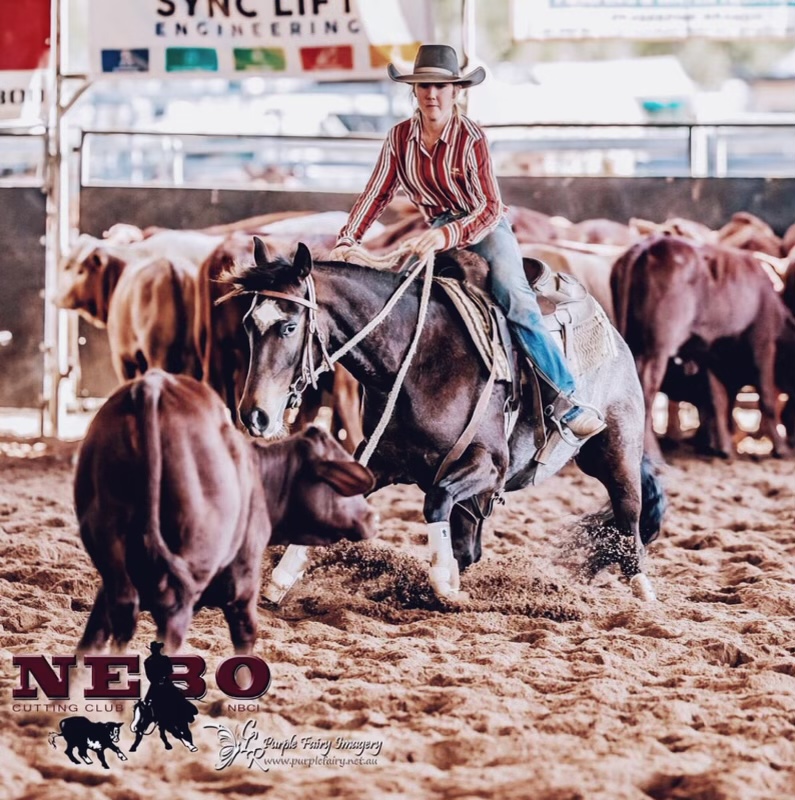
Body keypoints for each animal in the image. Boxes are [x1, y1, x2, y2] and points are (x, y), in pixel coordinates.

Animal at [226, 239, 665, 601]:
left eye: (288, 326)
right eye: (248, 323)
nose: (254, 414)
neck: (417, 360)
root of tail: (611, 332)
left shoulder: (488, 465)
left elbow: (435, 500)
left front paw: (442, 582)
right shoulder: (382, 459)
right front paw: (282, 577)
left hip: (617, 451)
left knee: (629, 512)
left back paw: (642, 588)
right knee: (471, 546)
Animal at [612, 234, 791, 462]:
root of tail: (649, 244)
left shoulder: (714, 358)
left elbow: (720, 402)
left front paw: (724, 447)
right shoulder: (762, 343)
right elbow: (765, 398)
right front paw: (780, 449)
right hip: (656, 349)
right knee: (644, 392)